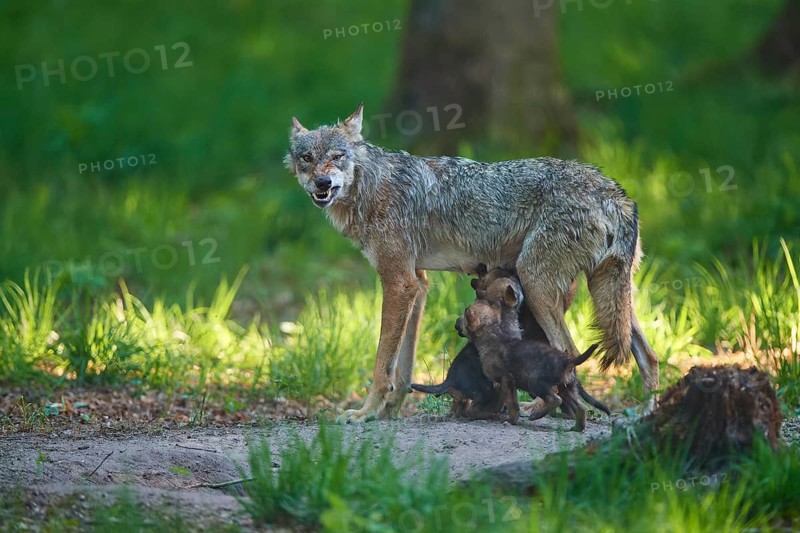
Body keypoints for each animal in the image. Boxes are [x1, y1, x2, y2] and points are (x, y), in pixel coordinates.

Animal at [285, 103, 659, 422]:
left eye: (337, 157)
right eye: (307, 158)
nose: (322, 183)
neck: (370, 186)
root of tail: (614, 193)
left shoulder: (398, 283)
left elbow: (382, 364)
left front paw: (366, 413)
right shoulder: (418, 284)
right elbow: (402, 368)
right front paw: (391, 411)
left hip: (537, 285)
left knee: (570, 352)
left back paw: (540, 408)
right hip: (613, 300)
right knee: (649, 356)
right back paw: (645, 414)